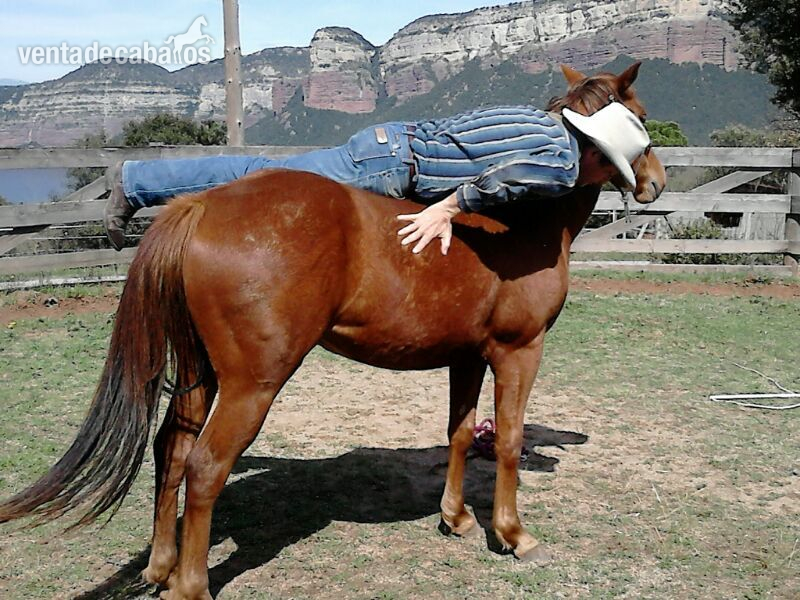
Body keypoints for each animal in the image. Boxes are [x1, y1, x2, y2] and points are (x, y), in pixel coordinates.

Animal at [0, 63, 666, 600]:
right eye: (639, 116)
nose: (656, 181)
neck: (521, 225)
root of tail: (202, 207)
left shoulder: (466, 357)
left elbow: (458, 433)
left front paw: (455, 519)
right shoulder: (517, 352)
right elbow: (504, 440)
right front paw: (513, 534)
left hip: (198, 371)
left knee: (173, 449)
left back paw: (161, 568)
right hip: (253, 383)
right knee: (205, 466)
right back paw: (191, 585)